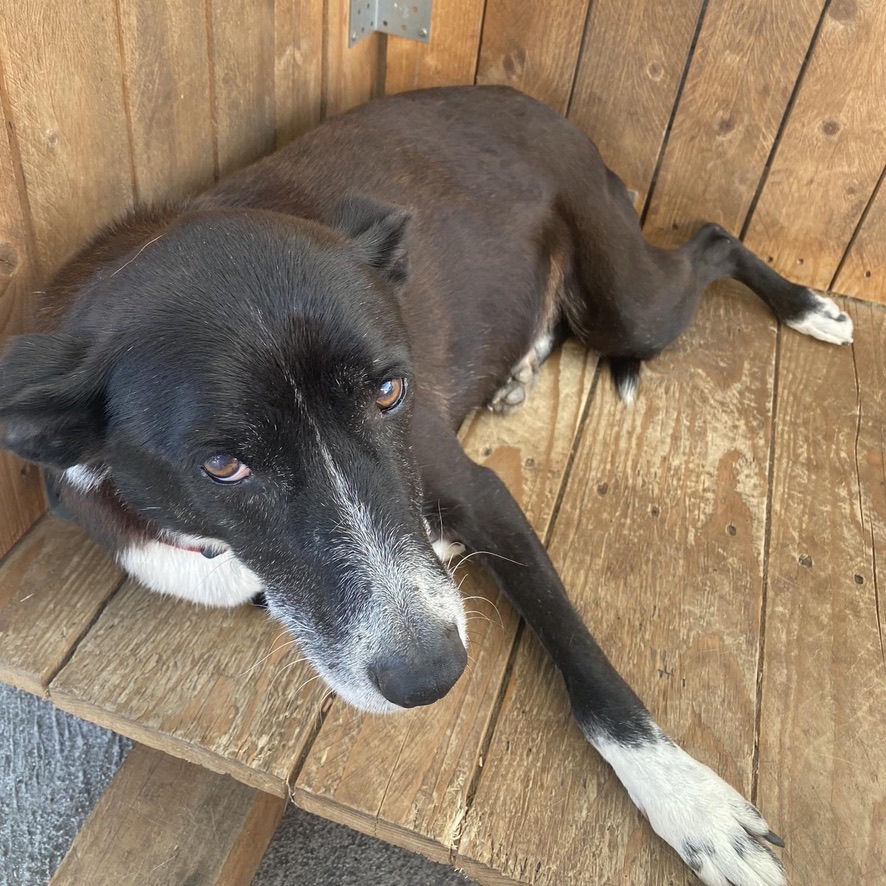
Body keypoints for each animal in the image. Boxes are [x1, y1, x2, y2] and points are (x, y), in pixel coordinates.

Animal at [0, 85, 852, 886]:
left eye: (388, 391)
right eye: (222, 466)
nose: (432, 678)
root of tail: (543, 109)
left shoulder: (483, 496)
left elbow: (585, 663)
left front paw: (692, 802)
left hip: (633, 305)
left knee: (713, 239)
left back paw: (807, 307)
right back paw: (523, 366)